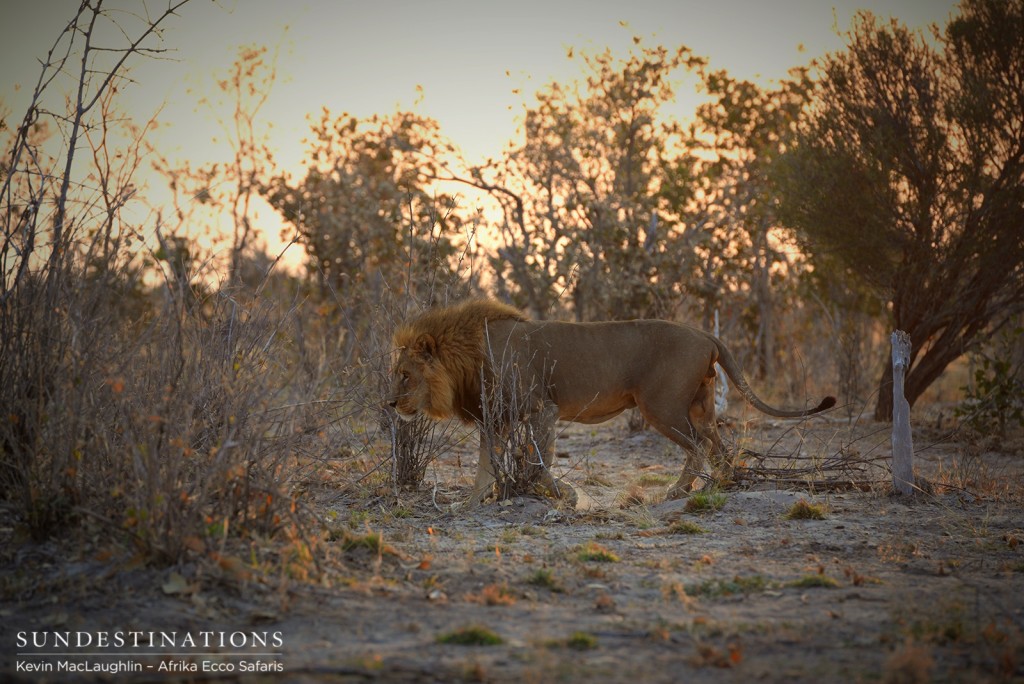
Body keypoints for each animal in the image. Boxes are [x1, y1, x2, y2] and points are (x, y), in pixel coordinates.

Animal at [387, 298, 835, 501]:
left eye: (405, 375)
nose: (390, 405)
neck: (468, 358)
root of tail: (706, 334)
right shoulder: (494, 420)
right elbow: (485, 466)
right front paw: (470, 503)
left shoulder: (542, 408)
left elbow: (538, 461)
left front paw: (567, 496)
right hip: (700, 405)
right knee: (718, 444)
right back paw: (725, 485)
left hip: (661, 407)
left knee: (698, 446)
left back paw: (675, 492)